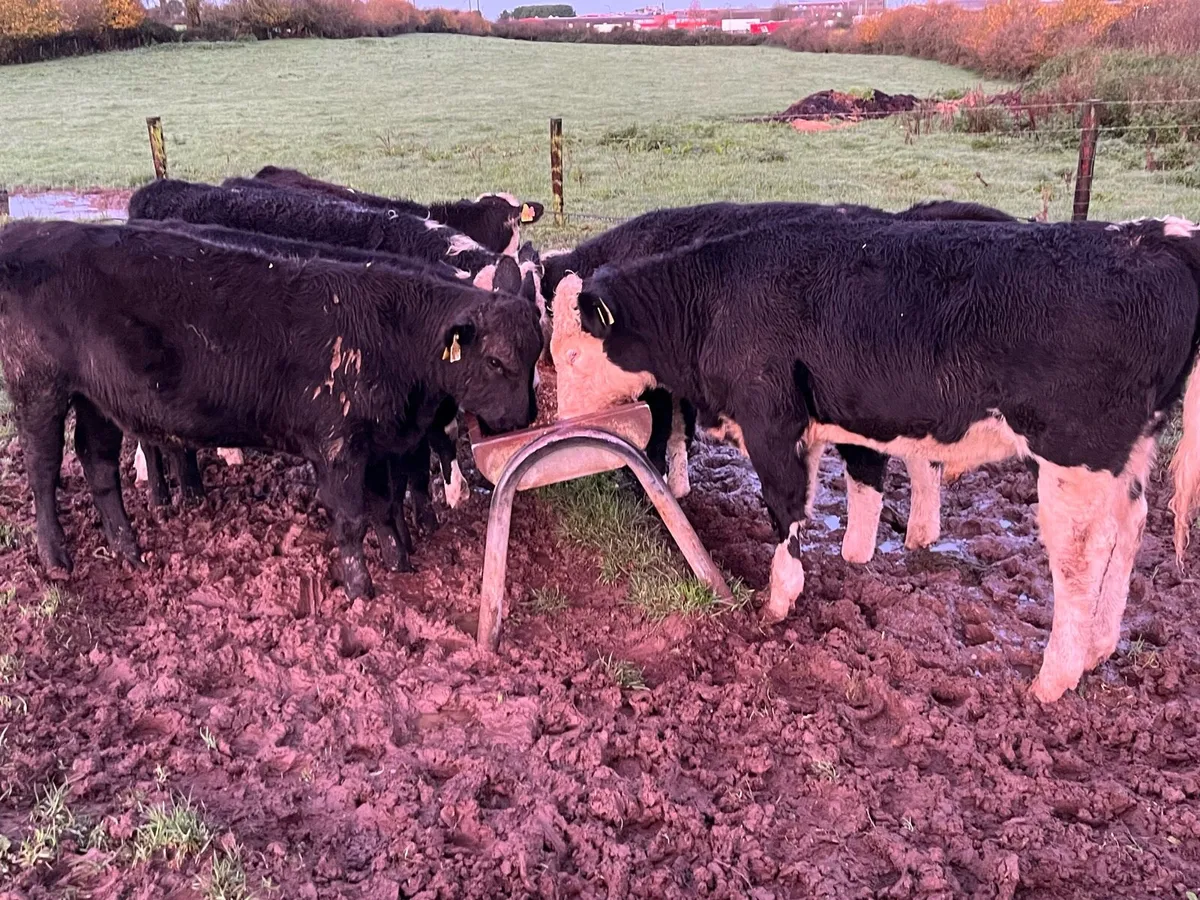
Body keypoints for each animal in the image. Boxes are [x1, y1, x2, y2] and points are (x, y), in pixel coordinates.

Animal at [0, 220, 542, 599]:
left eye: (536, 352)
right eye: (496, 361)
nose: (523, 419)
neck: (392, 333)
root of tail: (25, 232)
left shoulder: (380, 444)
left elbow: (387, 506)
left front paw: (399, 564)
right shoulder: (339, 445)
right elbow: (352, 520)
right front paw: (360, 589)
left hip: (97, 398)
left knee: (97, 465)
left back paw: (127, 548)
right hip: (38, 386)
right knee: (43, 468)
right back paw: (56, 556)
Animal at [547, 199, 1019, 558]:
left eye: (572, 354)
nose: (565, 420)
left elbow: (662, 435)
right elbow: (682, 432)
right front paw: (679, 488)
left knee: (871, 470)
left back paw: (858, 552)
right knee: (922, 462)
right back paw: (920, 535)